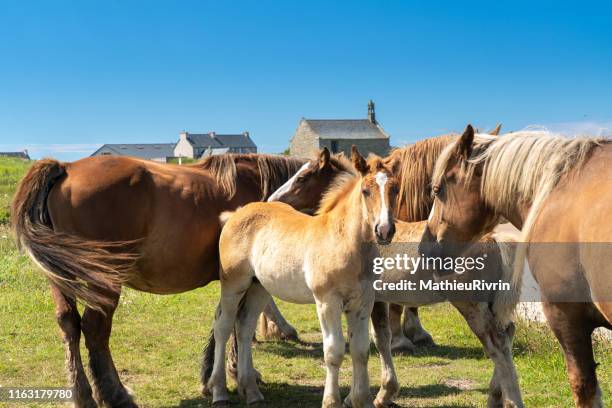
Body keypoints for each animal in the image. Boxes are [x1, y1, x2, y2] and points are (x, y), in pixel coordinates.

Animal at [11, 153, 304, 408]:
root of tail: (66, 167)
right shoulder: (241, 280)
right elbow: (234, 324)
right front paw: (234, 374)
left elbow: (223, 322)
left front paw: (212, 377)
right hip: (104, 279)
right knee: (95, 330)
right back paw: (115, 394)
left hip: (62, 276)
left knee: (68, 324)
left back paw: (82, 396)